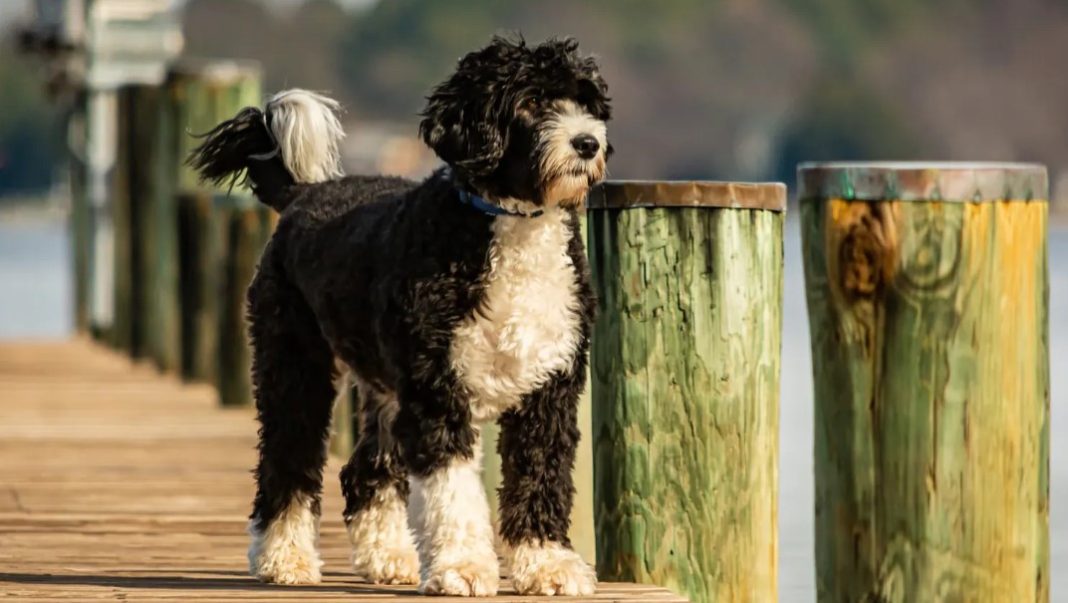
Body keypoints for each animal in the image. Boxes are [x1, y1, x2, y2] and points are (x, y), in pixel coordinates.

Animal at [189, 37, 615, 597]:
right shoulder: (437, 391)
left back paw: (387, 557)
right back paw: (284, 557)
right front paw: (463, 567)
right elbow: (453, 490)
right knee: (288, 459)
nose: (587, 143)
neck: (506, 223)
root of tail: (305, 194)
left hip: (385, 391)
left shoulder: (549, 388)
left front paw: (546, 564)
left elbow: (540, 474)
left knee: (364, 471)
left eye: (586, 102)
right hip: (295, 365)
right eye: (530, 102)